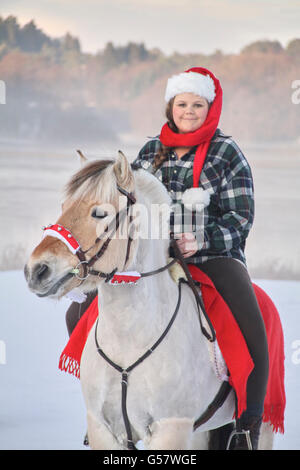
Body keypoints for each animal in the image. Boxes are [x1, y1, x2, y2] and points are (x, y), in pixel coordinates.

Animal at [24, 152, 276, 450]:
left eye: (99, 213)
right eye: (64, 206)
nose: (36, 270)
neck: (129, 339)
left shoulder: (171, 428)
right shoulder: (103, 428)